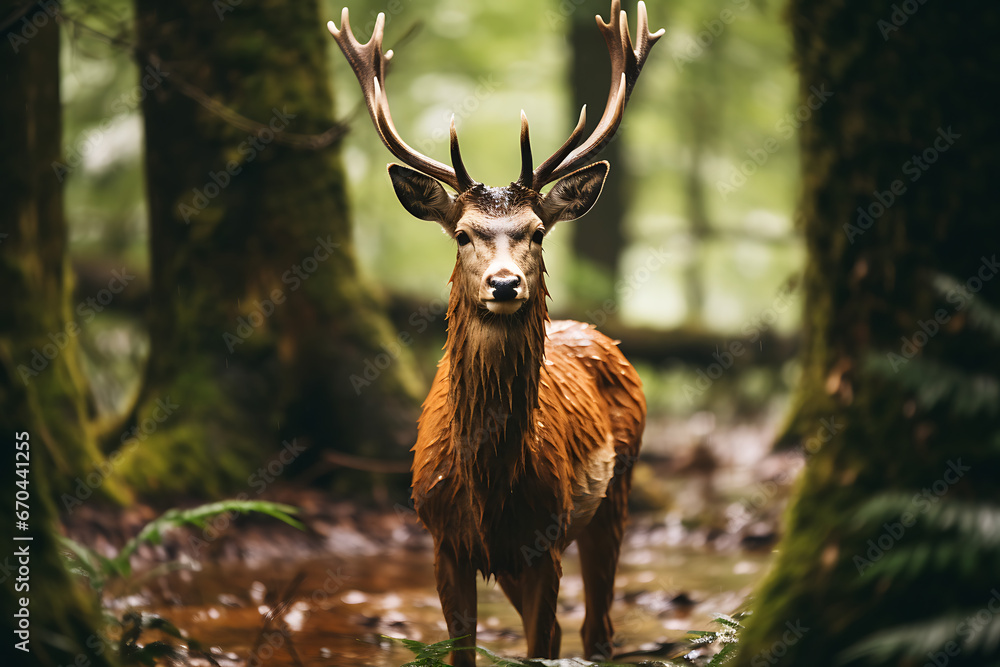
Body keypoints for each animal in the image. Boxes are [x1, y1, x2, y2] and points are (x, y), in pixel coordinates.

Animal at [328, 2, 660, 664]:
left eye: (537, 231)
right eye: (462, 234)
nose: (505, 284)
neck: (489, 492)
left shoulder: (545, 541)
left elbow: (544, 642)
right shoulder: (443, 540)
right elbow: (462, 647)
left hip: (616, 491)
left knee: (596, 627)